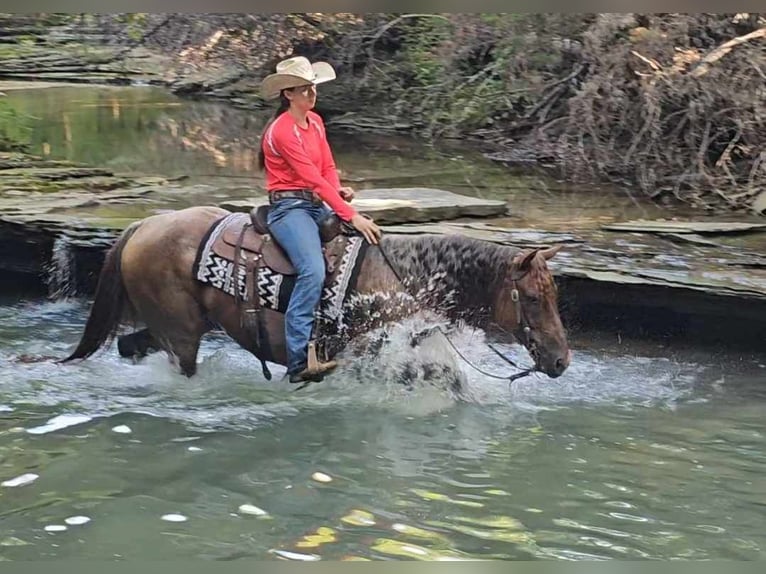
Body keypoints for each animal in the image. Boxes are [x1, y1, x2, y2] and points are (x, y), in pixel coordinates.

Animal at [60, 205, 571, 384]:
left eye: (555, 295)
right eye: (532, 297)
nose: (561, 360)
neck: (404, 278)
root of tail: (143, 225)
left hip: (175, 325)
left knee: (130, 344)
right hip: (182, 334)